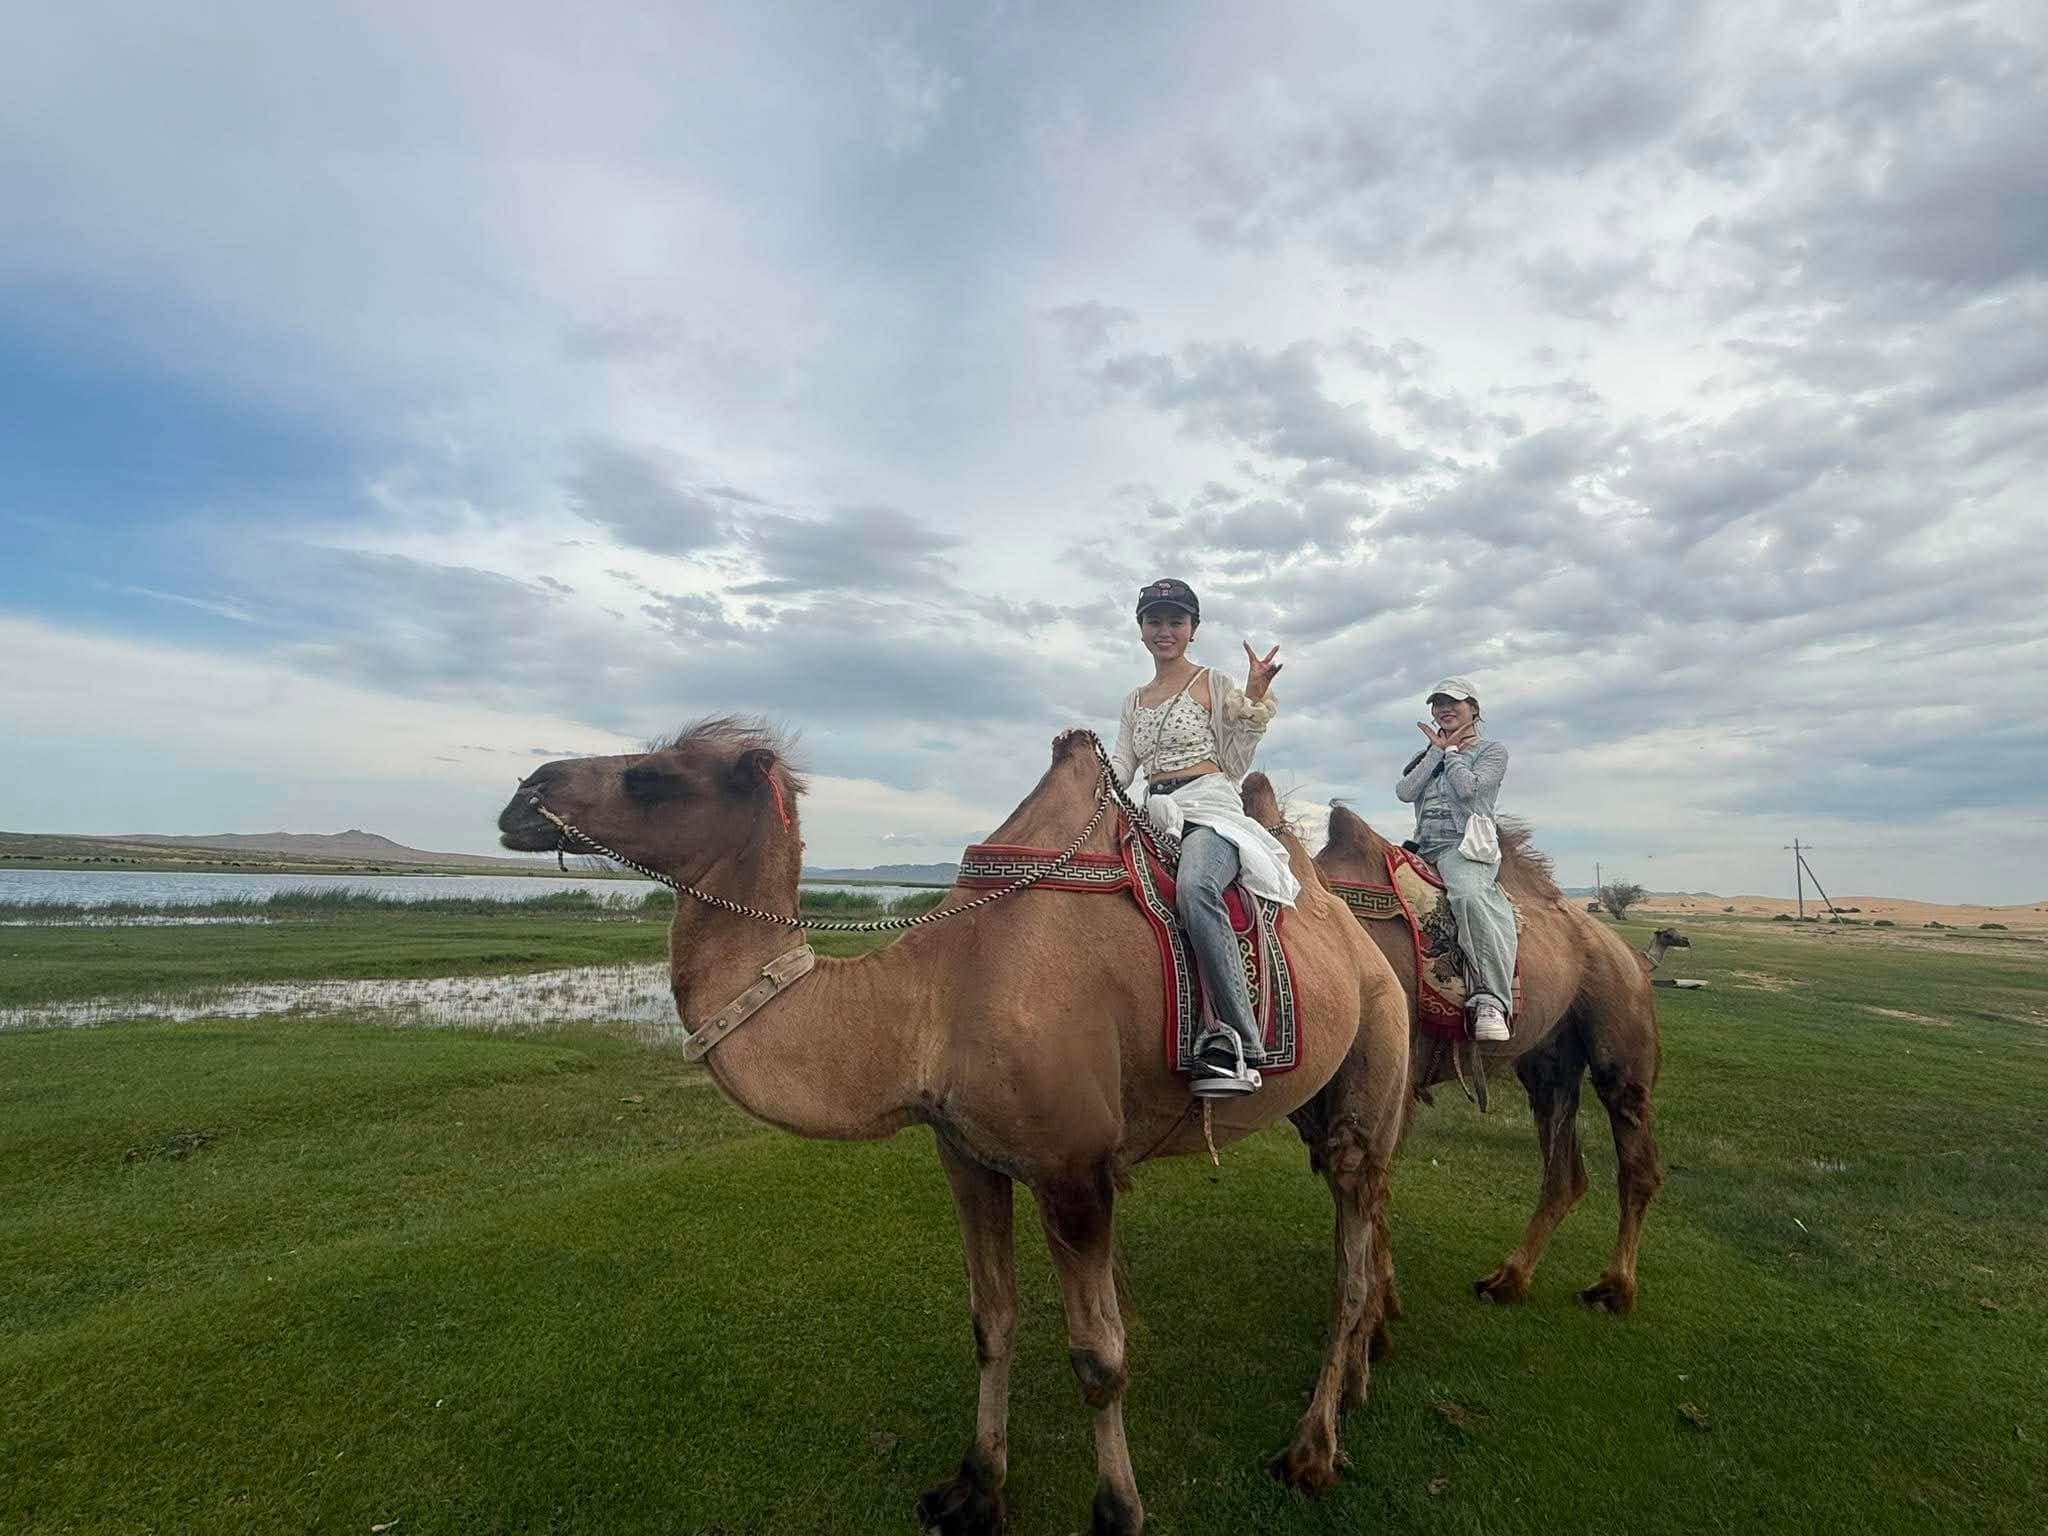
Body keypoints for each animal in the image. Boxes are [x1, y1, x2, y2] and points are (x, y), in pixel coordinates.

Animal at [496, 722, 1411, 1536]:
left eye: (651, 777)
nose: (521, 794)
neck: (929, 1003)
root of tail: (1350, 931)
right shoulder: (967, 1154)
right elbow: (990, 1321)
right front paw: (974, 1490)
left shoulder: (1075, 1171)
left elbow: (1099, 1358)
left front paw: (1117, 1512)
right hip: (1315, 1098)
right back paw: (1361, 1374)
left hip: (1377, 1043)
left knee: (1353, 1238)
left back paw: (1312, 1449)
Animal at [1315, 807, 1664, 1314]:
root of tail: (1634, 957)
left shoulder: (1392, 1081)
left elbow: (1368, 1184)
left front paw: (1381, 1303)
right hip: (1549, 1062)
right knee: (1565, 1174)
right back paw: (1508, 1280)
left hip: (1622, 1039)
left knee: (1636, 1161)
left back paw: (1614, 1290)